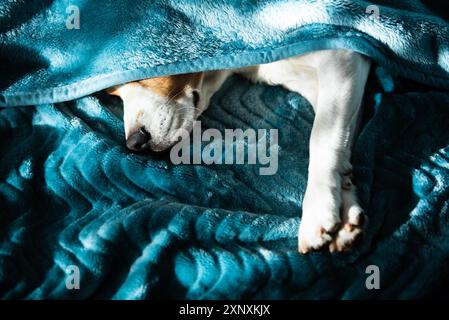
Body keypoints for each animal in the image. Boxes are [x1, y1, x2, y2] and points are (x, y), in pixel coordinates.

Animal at [107, 50, 372, 254]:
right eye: (113, 94)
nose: (135, 142)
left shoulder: (341, 59)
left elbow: (321, 137)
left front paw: (319, 207)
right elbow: (340, 141)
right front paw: (345, 207)